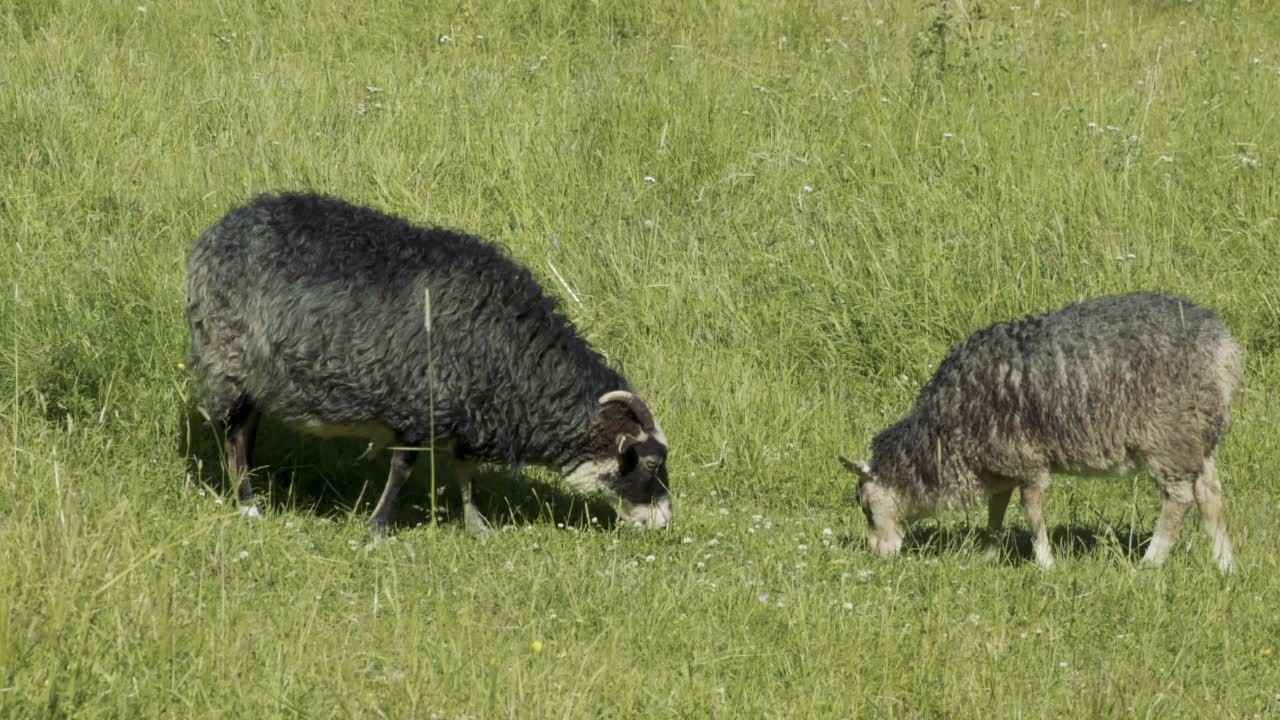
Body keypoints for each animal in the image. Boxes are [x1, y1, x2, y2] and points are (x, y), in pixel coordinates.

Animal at [188, 190, 675, 532]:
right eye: (651, 464)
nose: (665, 520)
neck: (517, 361)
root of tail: (216, 232)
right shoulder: (419, 405)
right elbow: (403, 469)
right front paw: (377, 528)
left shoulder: (468, 412)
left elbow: (467, 470)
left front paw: (477, 526)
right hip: (231, 361)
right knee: (235, 435)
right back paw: (248, 504)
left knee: (245, 431)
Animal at [839, 292, 1239, 571]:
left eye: (866, 508)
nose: (877, 555)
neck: (942, 433)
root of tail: (1223, 348)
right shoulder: (999, 462)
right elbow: (997, 509)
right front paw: (987, 555)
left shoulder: (1026, 458)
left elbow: (1031, 511)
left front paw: (1045, 563)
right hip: (1198, 433)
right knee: (1210, 494)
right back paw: (1225, 564)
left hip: (1167, 436)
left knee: (1179, 500)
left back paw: (1150, 563)